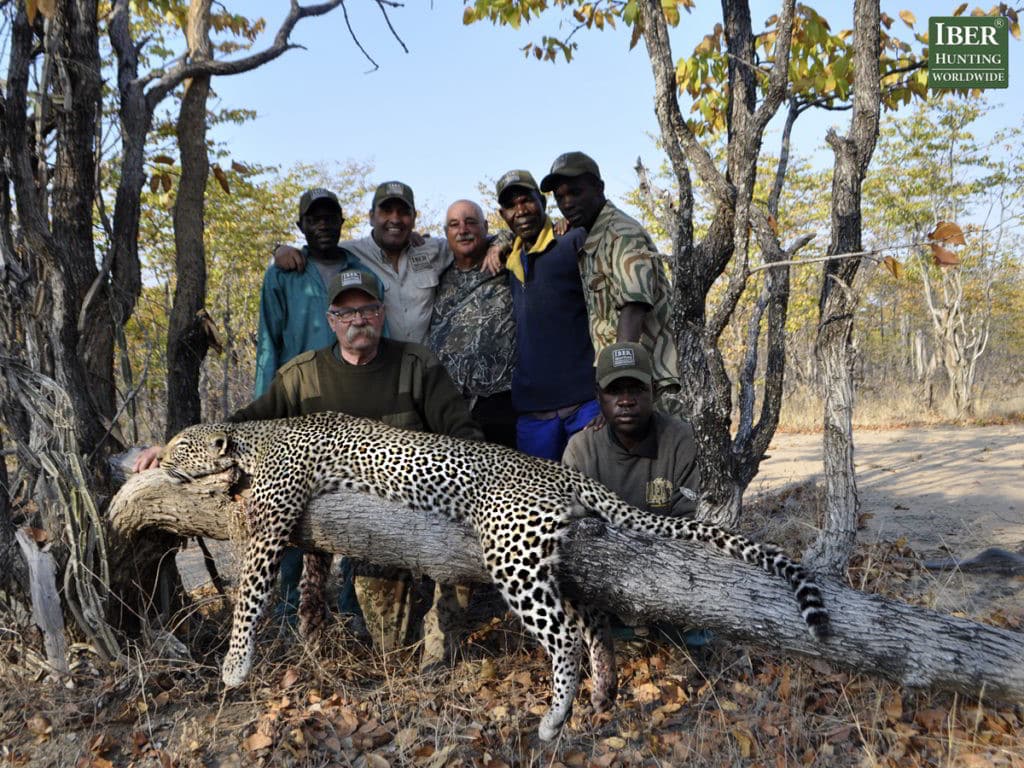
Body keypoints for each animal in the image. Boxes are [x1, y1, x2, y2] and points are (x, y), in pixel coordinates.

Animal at [161, 411, 831, 741]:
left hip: (512, 551)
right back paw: (602, 688)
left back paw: (556, 717)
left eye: (176, 448)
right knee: (589, 621)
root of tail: (562, 472)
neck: (252, 440)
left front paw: (234, 666)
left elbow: (250, 593)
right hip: (546, 559)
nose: (161, 462)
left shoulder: (273, 519)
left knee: (563, 637)